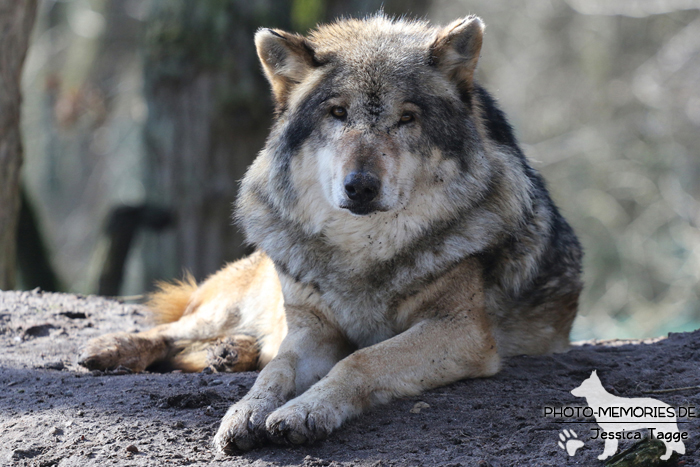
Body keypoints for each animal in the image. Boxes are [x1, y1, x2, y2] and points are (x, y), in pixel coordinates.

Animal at [80, 13, 584, 454]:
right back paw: (115, 349)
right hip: (236, 302)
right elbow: (275, 373)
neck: (363, 250)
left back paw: (229, 354)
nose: (360, 185)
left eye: (407, 118)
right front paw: (244, 413)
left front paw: (305, 411)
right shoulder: (312, 330)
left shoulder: (461, 330)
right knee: (174, 330)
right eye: (337, 113)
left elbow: (360, 359)